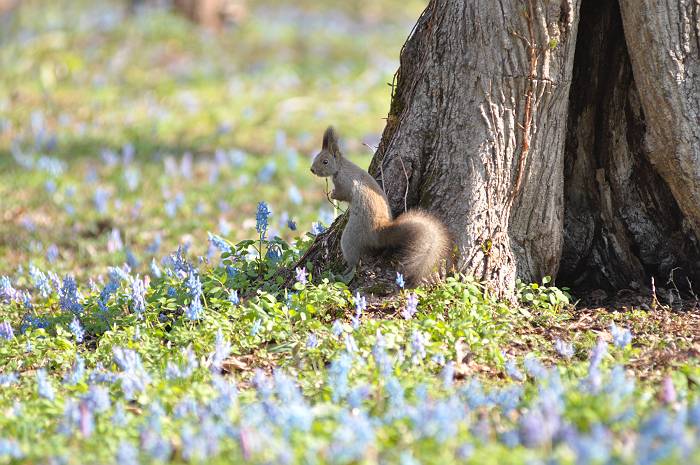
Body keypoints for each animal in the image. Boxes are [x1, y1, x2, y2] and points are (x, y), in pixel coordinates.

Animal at [310, 127, 452, 286]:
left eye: (325, 161)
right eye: (316, 157)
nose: (312, 169)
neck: (341, 167)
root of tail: (379, 231)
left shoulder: (344, 182)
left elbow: (343, 194)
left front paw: (333, 194)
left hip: (350, 237)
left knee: (354, 261)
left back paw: (345, 273)